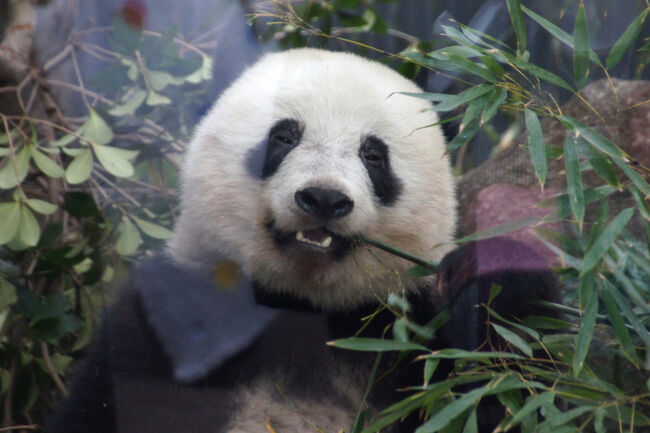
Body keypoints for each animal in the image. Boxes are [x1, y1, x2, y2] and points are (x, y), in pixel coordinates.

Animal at [48, 49, 556, 430]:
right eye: (284, 137)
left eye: (373, 155)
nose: (324, 199)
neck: (299, 302)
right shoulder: (167, 320)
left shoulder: (404, 339)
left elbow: (511, 391)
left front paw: (489, 270)